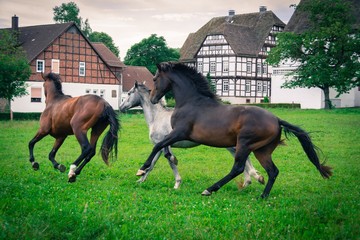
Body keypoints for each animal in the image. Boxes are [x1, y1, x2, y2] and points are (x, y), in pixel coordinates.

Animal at [119, 81, 262, 188]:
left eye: (129, 93)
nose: (120, 107)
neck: (157, 117)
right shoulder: (158, 146)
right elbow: (152, 163)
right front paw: (141, 178)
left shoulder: (164, 144)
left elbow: (170, 161)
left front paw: (177, 183)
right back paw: (249, 180)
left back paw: (254, 177)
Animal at [137, 62, 332, 199]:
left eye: (154, 79)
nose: (153, 99)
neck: (191, 102)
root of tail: (277, 120)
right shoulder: (176, 135)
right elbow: (162, 149)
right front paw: (148, 170)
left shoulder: (179, 133)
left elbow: (158, 146)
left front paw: (142, 169)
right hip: (262, 150)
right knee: (273, 171)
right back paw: (263, 196)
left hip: (244, 144)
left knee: (238, 168)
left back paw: (210, 189)